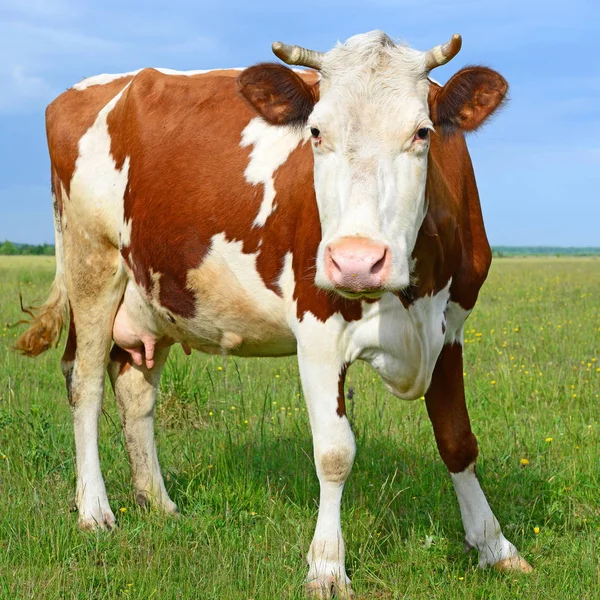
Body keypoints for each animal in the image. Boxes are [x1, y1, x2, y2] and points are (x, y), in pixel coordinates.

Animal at [16, 31, 532, 596]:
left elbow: (457, 439)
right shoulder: (318, 331)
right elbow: (334, 453)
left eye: (423, 132)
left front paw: (495, 547)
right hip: (91, 263)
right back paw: (95, 510)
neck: (412, 295)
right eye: (316, 132)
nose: (356, 261)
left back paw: (159, 503)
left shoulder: (451, 328)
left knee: (134, 388)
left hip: (154, 293)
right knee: (84, 381)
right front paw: (326, 567)